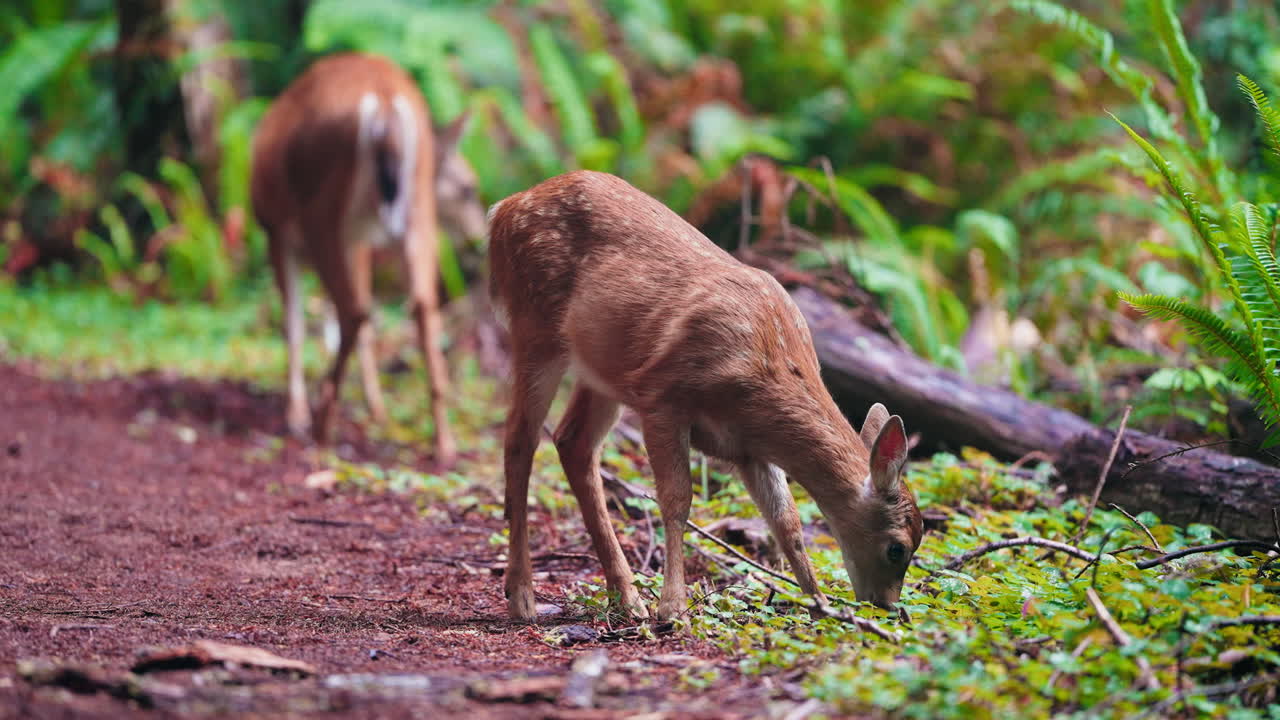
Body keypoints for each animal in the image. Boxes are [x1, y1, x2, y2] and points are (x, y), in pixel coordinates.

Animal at [251, 53, 487, 465]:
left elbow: (293, 323)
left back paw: (321, 423)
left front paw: (295, 412)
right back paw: (444, 443)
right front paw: (376, 409)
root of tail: (386, 96)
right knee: (419, 306)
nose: (479, 237)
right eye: (468, 189)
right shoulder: (356, 241)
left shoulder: (276, 230)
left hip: (321, 210)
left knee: (353, 310)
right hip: (416, 213)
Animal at [488, 170, 923, 621]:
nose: (887, 607)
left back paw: (625, 597)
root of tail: (503, 208)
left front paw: (822, 606)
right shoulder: (662, 394)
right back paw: (523, 596)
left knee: (572, 442)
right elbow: (678, 499)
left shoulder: (749, 450)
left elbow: (787, 521)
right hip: (535, 325)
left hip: (602, 370)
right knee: (519, 438)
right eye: (897, 549)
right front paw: (673, 607)